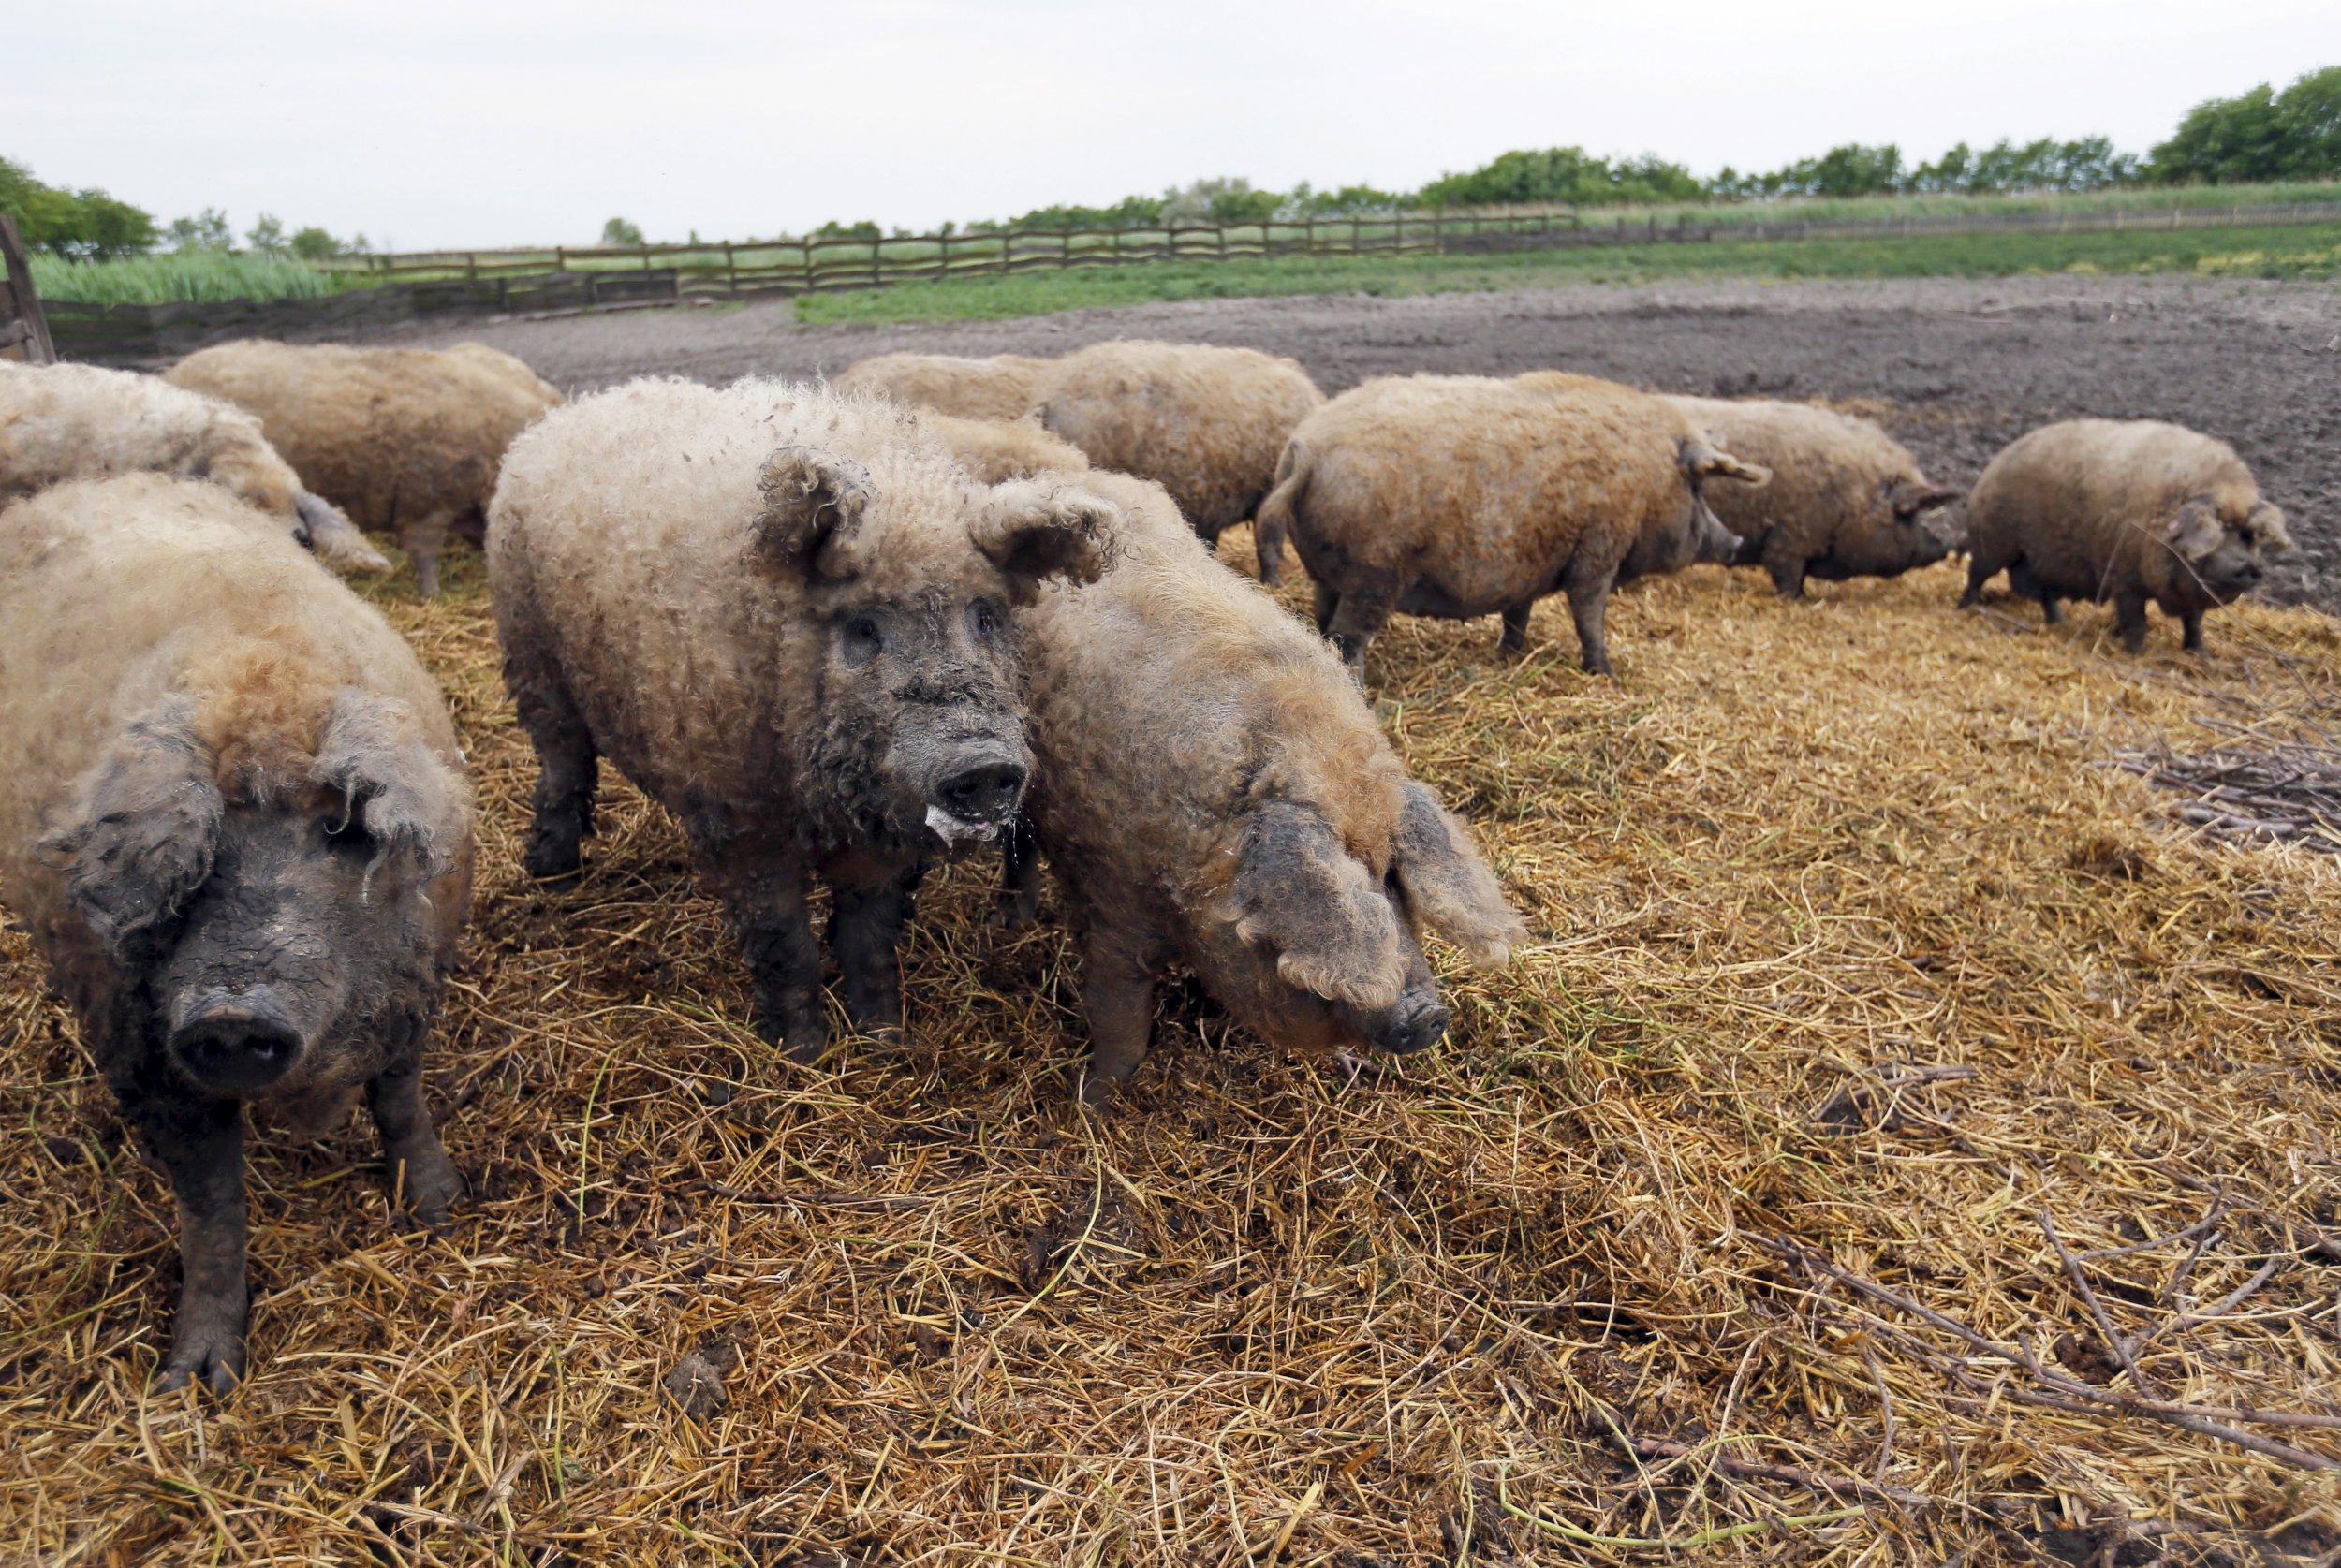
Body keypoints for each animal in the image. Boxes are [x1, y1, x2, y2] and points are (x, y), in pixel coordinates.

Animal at [0, 473, 475, 1395]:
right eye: (196, 855)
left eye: (340, 830)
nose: (230, 1012)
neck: (262, 674)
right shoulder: (144, 1054)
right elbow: (211, 1204)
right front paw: (195, 1382)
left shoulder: (416, 976)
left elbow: (401, 1098)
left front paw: (444, 1210)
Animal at [489, 381, 1119, 1067]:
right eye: (863, 628)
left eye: (985, 616)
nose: (982, 765)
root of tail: (570, 411)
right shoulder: (740, 814)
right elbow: (781, 939)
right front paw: (801, 1054)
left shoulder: (885, 836)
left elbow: (871, 936)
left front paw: (883, 1043)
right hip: (533, 656)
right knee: (562, 763)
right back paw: (551, 873)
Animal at [1255, 376, 1760, 683]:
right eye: (1697, 487)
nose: (1735, 541)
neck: (1649, 485)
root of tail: (1305, 449)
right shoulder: (1599, 549)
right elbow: (1589, 615)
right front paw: (1605, 673)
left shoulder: (1531, 567)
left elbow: (1520, 612)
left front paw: (1511, 654)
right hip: (1374, 571)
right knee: (1350, 637)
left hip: (1330, 572)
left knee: (1323, 623)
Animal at [1957, 421, 2304, 655]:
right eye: (2216, 532)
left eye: (2246, 536)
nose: (2249, 567)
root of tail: (1993, 465)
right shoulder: (2124, 579)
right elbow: (2135, 619)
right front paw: (2136, 652)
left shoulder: (2191, 592)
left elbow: (2194, 622)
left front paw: (2200, 654)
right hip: (1993, 542)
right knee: (1976, 574)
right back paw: (1965, 608)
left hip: (2039, 560)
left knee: (2046, 595)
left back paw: (2060, 624)